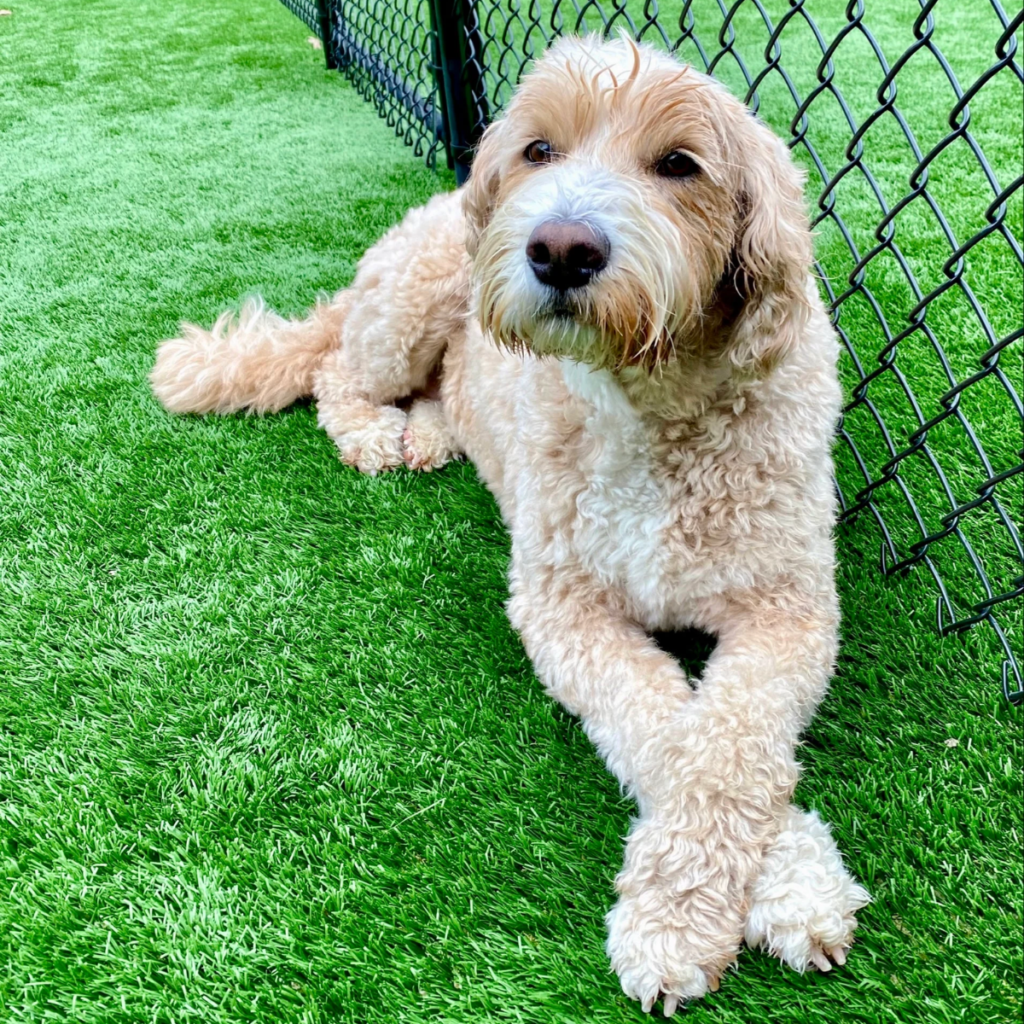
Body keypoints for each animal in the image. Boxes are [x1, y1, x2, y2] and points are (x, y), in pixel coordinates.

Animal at [151, 37, 868, 1015]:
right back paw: (375, 434)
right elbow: (664, 729)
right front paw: (679, 919)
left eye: (680, 164)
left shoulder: (788, 609)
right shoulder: (562, 608)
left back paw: (429, 434)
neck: (650, 411)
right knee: (336, 370)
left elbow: (728, 745)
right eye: (539, 150)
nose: (561, 248)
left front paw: (792, 887)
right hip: (405, 310)